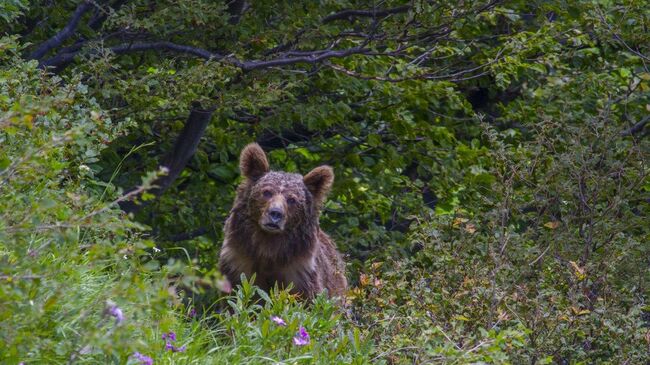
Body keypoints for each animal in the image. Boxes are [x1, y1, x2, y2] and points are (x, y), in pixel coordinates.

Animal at [218, 142, 346, 298]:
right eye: (267, 192)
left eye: (292, 199)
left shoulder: (299, 272)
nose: (275, 213)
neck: (268, 248)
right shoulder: (238, 263)